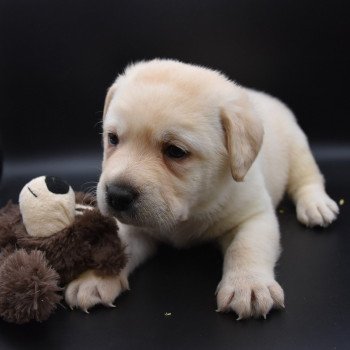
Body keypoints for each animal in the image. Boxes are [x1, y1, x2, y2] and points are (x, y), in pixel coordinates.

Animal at [65, 58, 340, 318]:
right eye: (112, 139)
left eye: (175, 151)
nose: (117, 195)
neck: (189, 213)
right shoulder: (133, 228)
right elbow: (115, 244)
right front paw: (94, 278)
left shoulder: (254, 215)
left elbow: (246, 247)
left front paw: (249, 285)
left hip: (298, 147)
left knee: (307, 177)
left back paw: (316, 205)